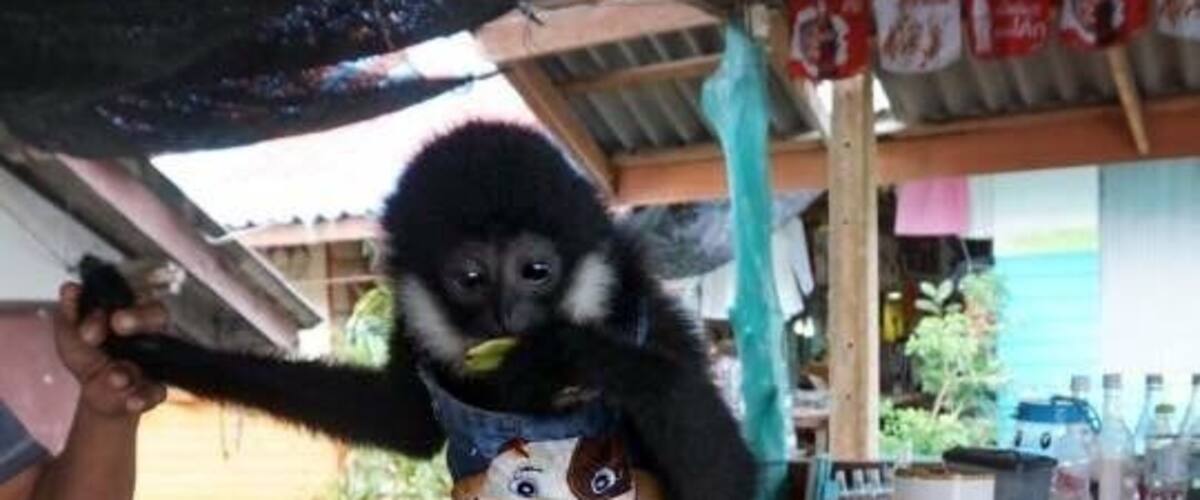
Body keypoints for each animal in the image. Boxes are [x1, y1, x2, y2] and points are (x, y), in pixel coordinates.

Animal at [79, 121, 758, 499]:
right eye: (472, 278)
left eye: (535, 272)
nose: (507, 314)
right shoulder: (411, 323)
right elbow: (401, 419)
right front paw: (146, 346)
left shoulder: (644, 305)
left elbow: (727, 483)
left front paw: (565, 353)